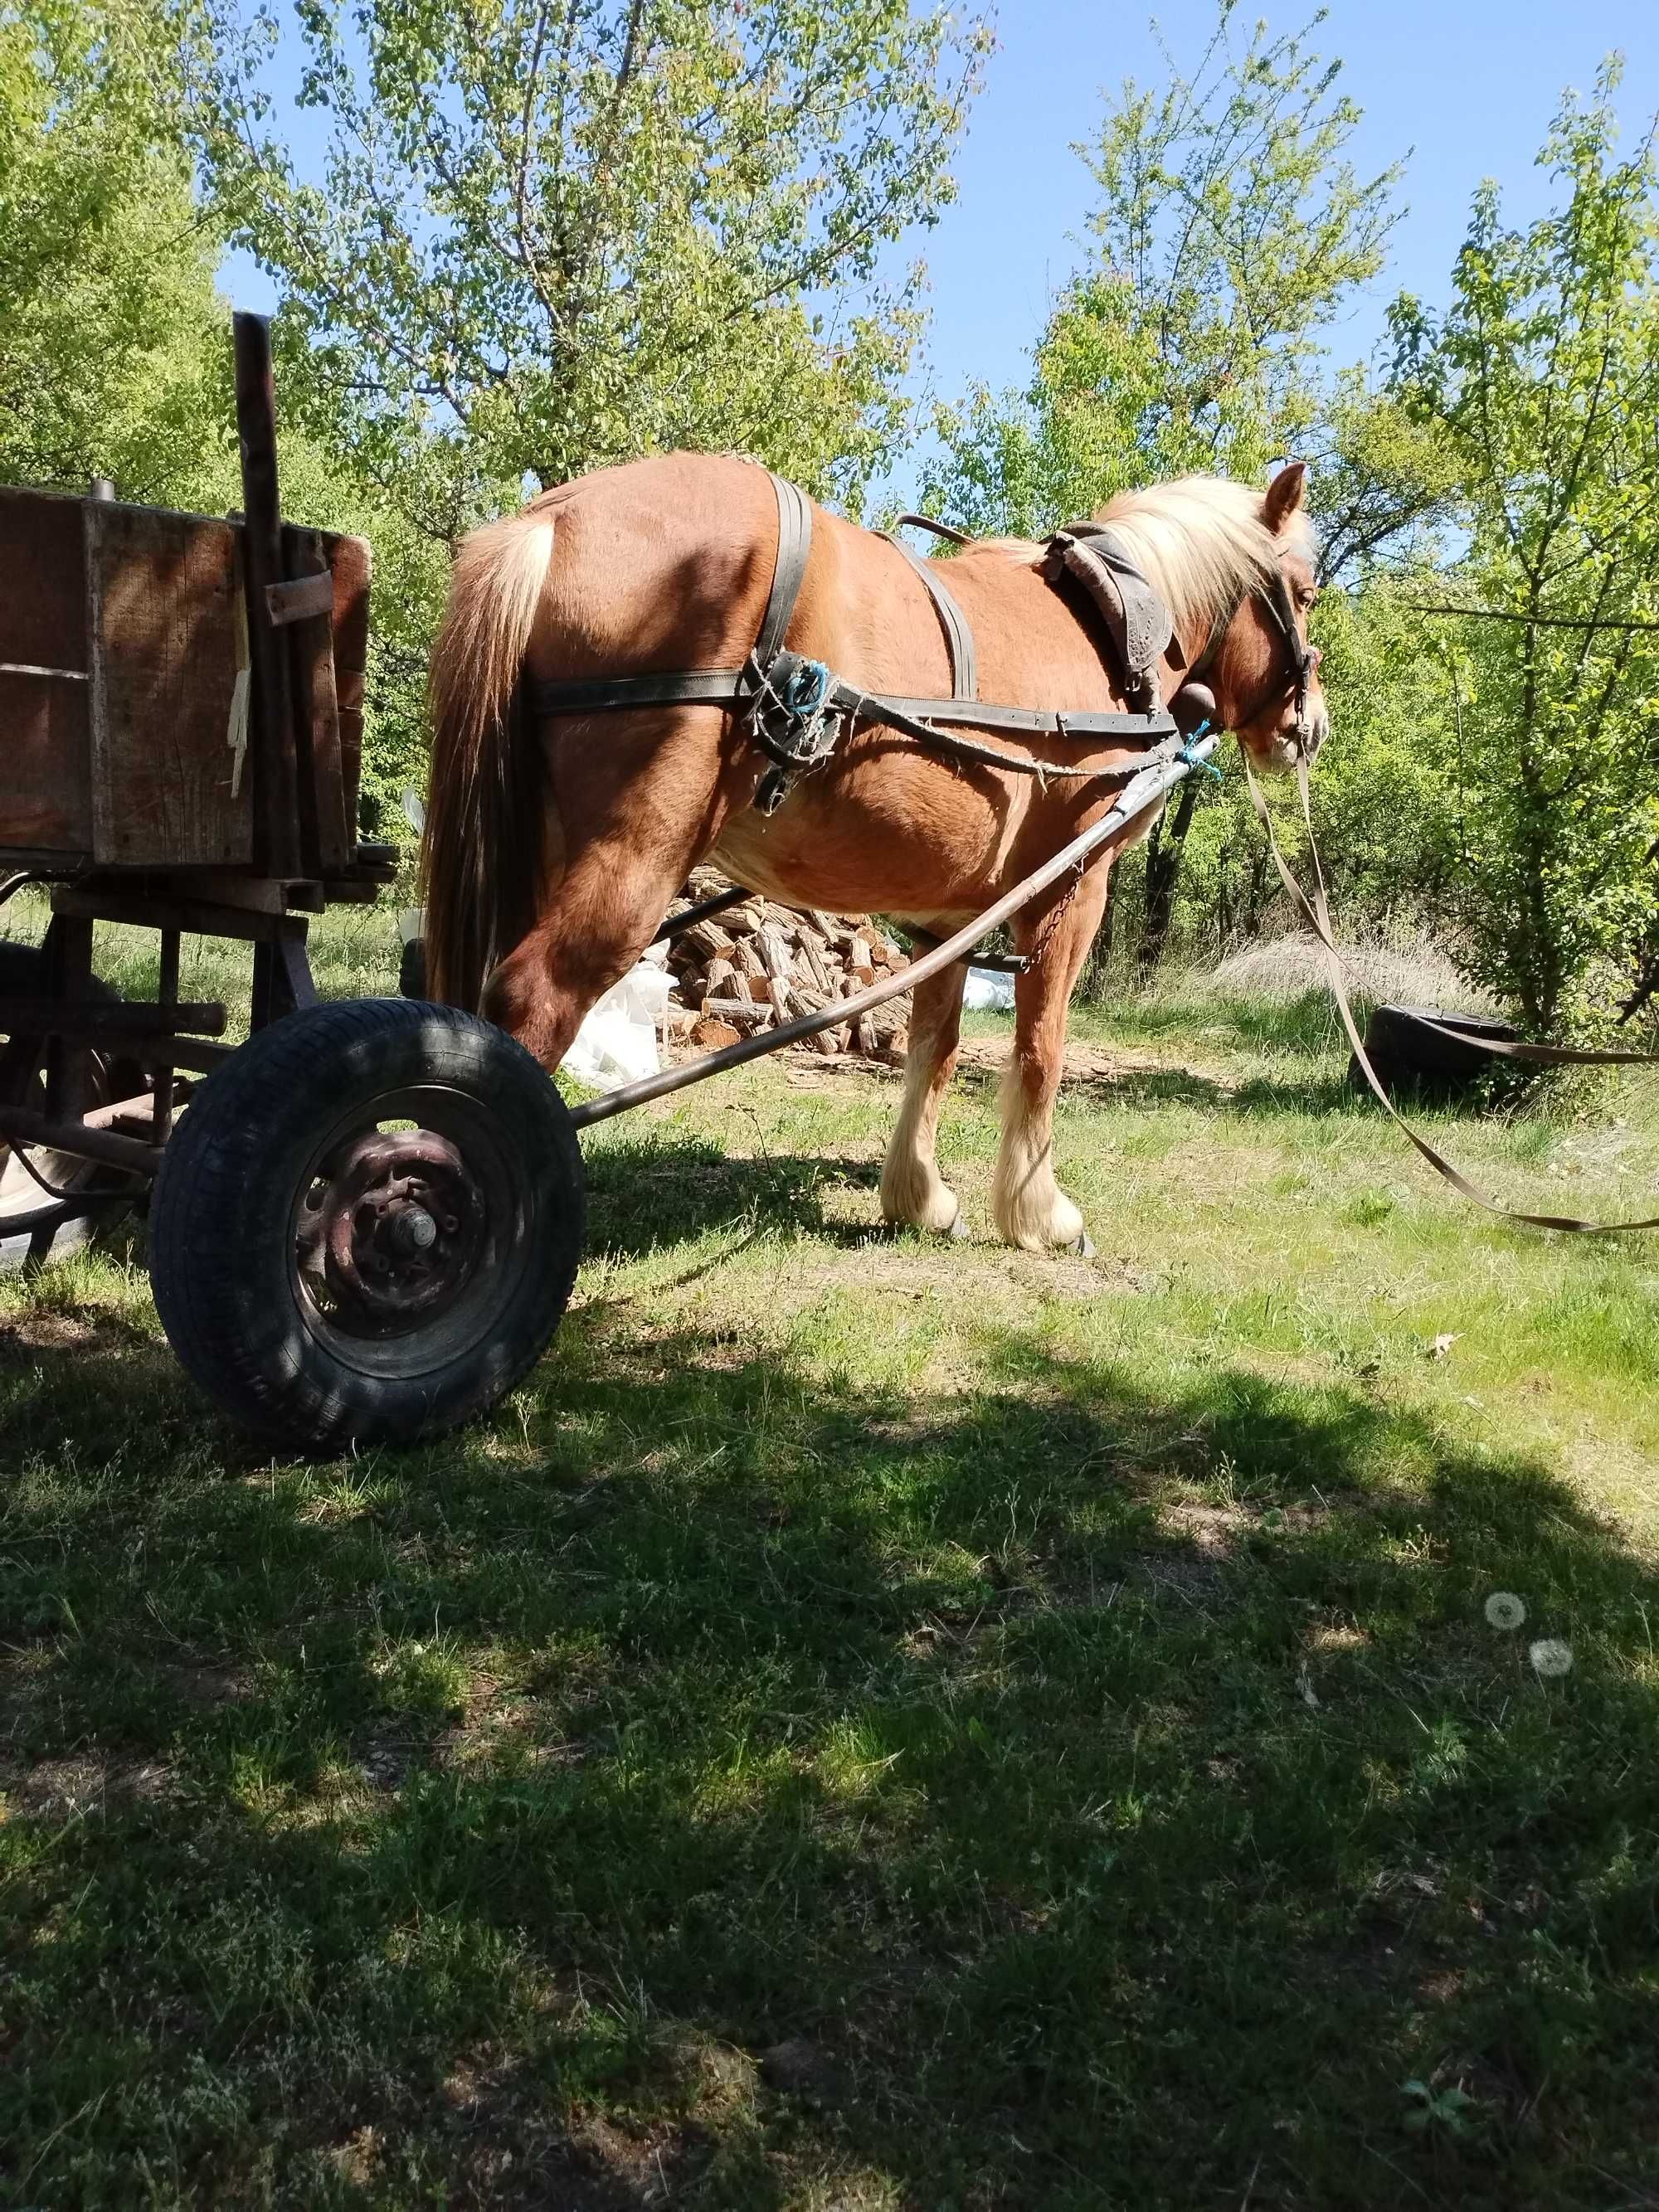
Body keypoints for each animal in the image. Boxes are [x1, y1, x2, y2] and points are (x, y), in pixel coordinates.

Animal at [422, 455, 1335, 1256]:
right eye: (1305, 592)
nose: (1310, 726)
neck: (1112, 635)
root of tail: (552, 520)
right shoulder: (1071, 894)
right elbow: (1041, 1050)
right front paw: (1039, 1214)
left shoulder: (946, 919)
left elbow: (935, 1047)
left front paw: (919, 1197)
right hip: (636, 854)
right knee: (533, 1001)